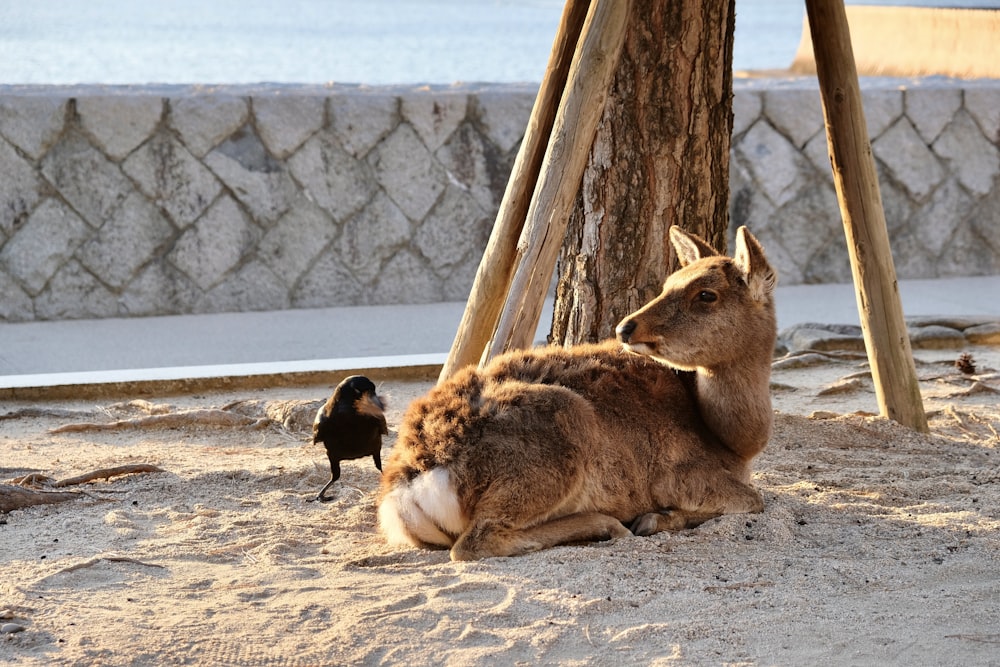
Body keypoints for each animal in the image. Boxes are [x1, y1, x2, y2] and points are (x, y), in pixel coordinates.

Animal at [378, 227, 776, 560]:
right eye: (668, 284)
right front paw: (655, 519)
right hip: (561, 430)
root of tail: (406, 489)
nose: (626, 327)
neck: (734, 444)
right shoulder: (680, 475)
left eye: (706, 294)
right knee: (473, 543)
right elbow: (754, 500)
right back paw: (608, 525)